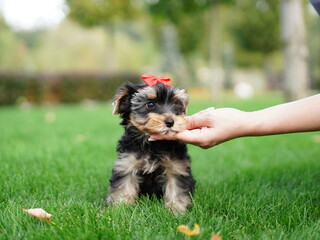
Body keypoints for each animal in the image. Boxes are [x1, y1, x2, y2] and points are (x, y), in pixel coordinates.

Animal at [106, 74, 195, 213]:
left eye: (176, 103)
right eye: (150, 104)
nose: (170, 122)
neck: (153, 144)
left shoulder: (176, 166)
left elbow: (176, 187)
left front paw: (175, 211)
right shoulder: (127, 163)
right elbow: (124, 185)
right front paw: (121, 209)